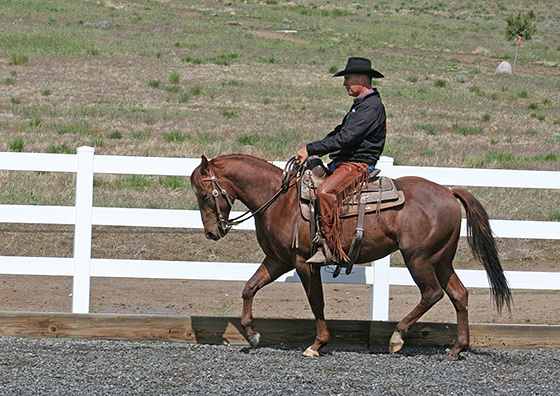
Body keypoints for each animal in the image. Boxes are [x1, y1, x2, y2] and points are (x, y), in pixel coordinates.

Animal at [192, 155, 512, 358]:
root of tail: (448, 191)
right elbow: (249, 288)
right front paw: (251, 334)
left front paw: (317, 345)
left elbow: (316, 302)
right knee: (459, 294)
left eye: (205, 194)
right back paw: (457, 349)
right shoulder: (277, 260)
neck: (280, 200)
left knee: (432, 293)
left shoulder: (302, 262)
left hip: (419, 259)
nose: (211, 232)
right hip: (441, 260)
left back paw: (397, 337)